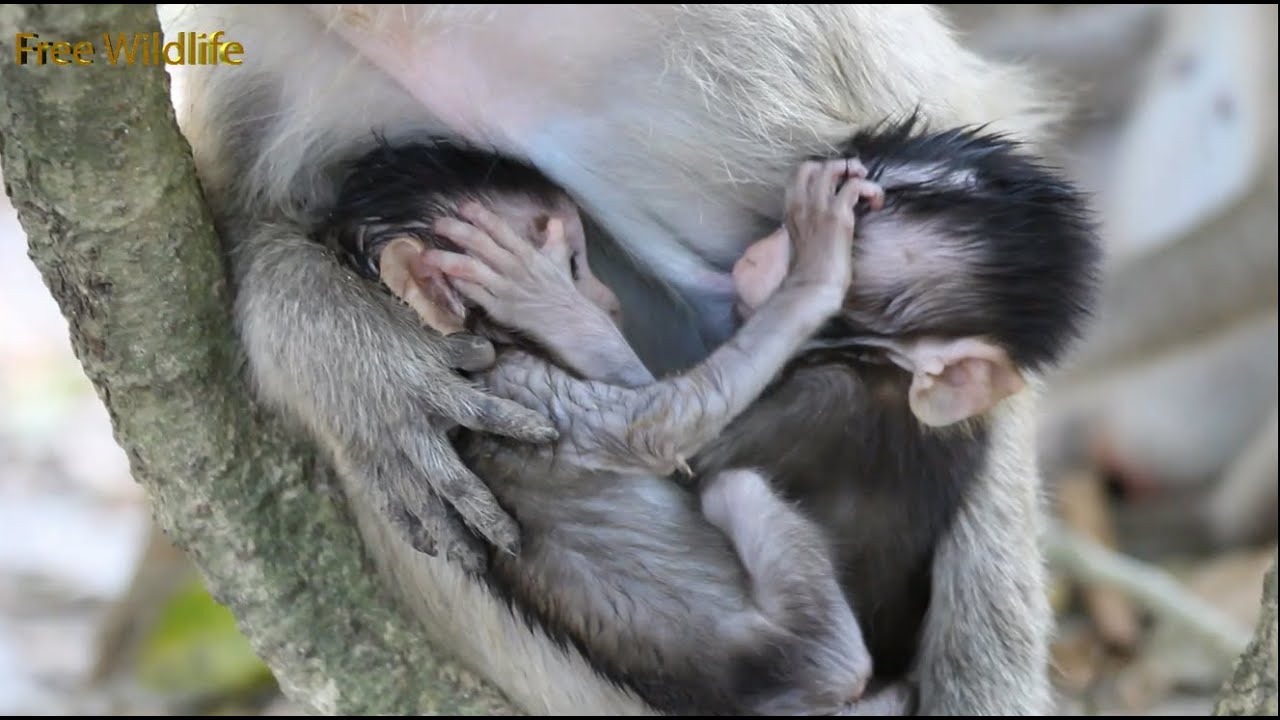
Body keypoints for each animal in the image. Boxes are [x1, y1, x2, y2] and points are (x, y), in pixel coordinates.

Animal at [320, 144, 883, 716]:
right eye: (573, 264)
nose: (609, 300)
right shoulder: (521, 390)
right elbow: (662, 433)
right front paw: (818, 261)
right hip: (802, 652)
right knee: (739, 492)